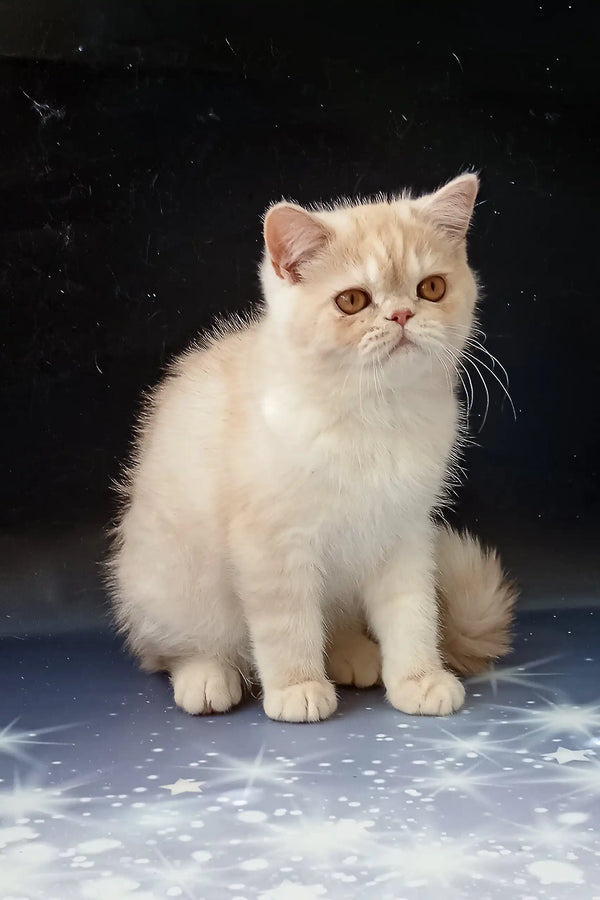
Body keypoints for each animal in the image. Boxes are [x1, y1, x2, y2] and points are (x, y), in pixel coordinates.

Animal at [108, 174, 516, 724]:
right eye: (352, 301)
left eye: (431, 288)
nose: (402, 314)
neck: (372, 414)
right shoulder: (271, 543)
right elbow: (288, 624)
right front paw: (297, 687)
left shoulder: (404, 533)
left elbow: (412, 611)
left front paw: (418, 679)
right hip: (170, 581)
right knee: (172, 647)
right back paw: (207, 675)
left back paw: (352, 654)